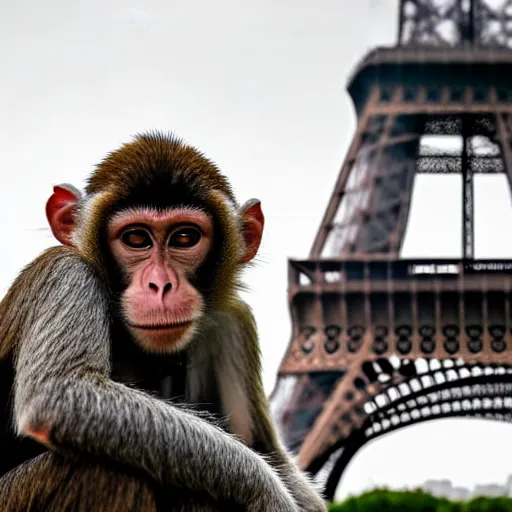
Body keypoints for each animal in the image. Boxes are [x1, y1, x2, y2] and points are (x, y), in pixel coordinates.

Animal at [0, 133, 328, 512]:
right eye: (136, 238)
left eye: (184, 238)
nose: (160, 285)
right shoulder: (65, 271)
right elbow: (59, 394)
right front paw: (266, 490)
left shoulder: (232, 320)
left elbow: (267, 449)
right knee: (103, 469)